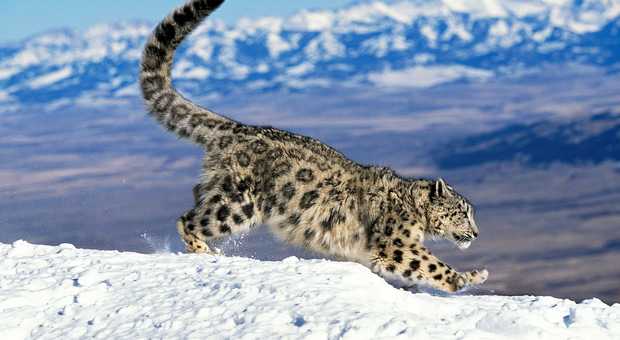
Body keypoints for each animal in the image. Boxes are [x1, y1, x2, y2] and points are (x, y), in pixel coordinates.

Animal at [140, 0, 490, 292]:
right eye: (462, 212)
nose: (476, 234)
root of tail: (237, 127)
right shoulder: (396, 244)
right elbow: (430, 264)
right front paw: (468, 277)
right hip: (237, 204)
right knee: (189, 220)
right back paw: (206, 251)